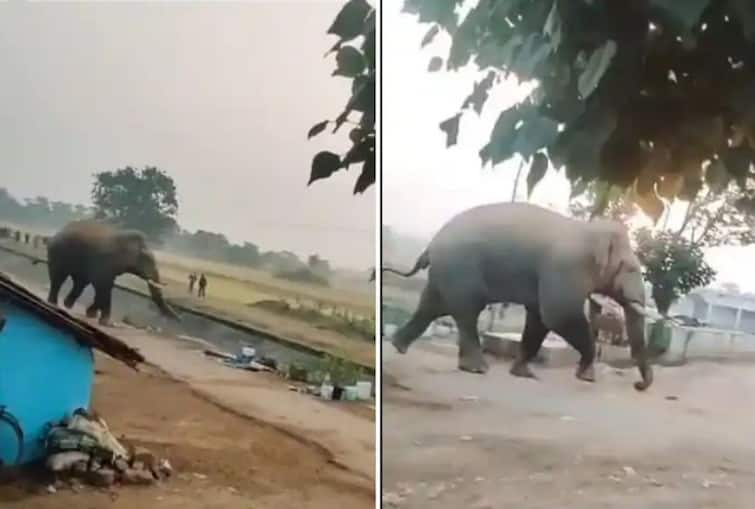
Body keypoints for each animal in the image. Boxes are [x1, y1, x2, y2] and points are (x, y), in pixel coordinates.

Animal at [42, 219, 180, 326]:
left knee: (80, 282)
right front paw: (105, 322)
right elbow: (104, 286)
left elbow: (104, 286)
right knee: (58, 278)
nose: (180, 318)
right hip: (57, 253)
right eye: (148, 260)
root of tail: (55, 234)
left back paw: (67, 305)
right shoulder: (105, 262)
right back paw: (53, 304)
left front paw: (92, 314)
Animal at [384, 200, 656, 390]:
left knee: (432, 306)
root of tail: (431, 244)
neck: (591, 230)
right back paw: (477, 369)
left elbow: (540, 320)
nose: (638, 385)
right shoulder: (565, 268)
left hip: (446, 272)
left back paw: (399, 346)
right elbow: (559, 316)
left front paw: (524, 374)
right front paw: (588, 376)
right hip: (460, 269)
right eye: (631, 269)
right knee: (466, 311)